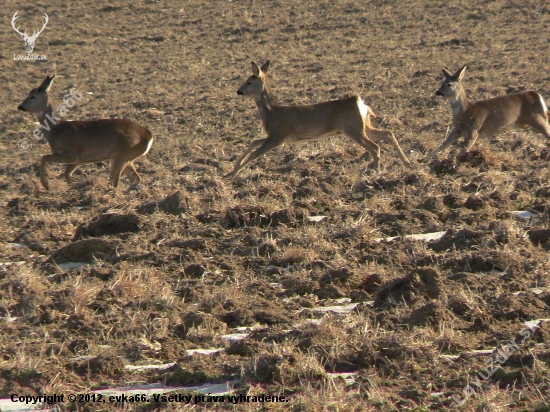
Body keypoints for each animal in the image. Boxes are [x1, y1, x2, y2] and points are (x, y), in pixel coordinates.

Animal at [18, 75, 154, 189]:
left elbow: (44, 157)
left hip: (120, 155)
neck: (55, 130)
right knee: (136, 178)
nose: (20, 107)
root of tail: (149, 136)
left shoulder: (71, 154)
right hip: (126, 158)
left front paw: (45, 184)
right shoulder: (78, 159)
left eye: (32, 96)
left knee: (115, 181)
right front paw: (78, 182)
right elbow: (66, 174)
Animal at [226, 61, 412, 177]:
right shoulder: (274, 136)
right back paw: (407, 163)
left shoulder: (278, 136)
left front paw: (234, 173)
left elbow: (255, 153)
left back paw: (375, 171)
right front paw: (231, 170)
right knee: (387, 133)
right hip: (363, 127)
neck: (272, 113)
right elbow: (253, 143)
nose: (238, 91)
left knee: (375, 147)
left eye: (249, 82)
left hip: (353, 129)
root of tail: (360, 102)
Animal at [422, 65, 550, 162]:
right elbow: (443, 144)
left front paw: (452, 162)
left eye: (449, 84)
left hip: (538, 119)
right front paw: (423, 159)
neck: (466, 113)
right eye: (442, 83)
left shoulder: (474, 131)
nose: (438, 92)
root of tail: (538, 96)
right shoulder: (457, 130)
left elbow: (462, 151)